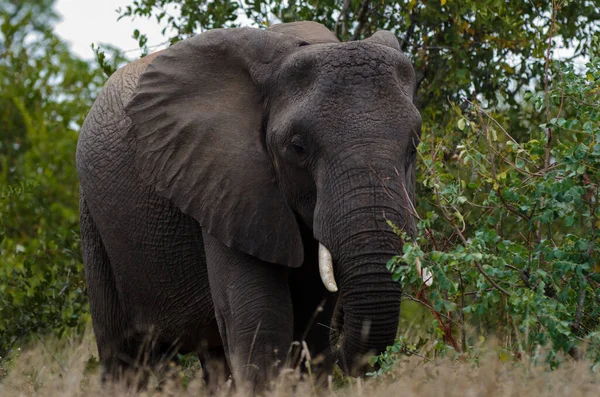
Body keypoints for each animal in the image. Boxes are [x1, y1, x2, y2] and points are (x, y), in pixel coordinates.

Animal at [77, 20, 424, 388]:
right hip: (94, 221)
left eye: (414, 144)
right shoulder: (224, 182)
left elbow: (310, 319)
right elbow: (260, 321)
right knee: (125, 355)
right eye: (297, 147)